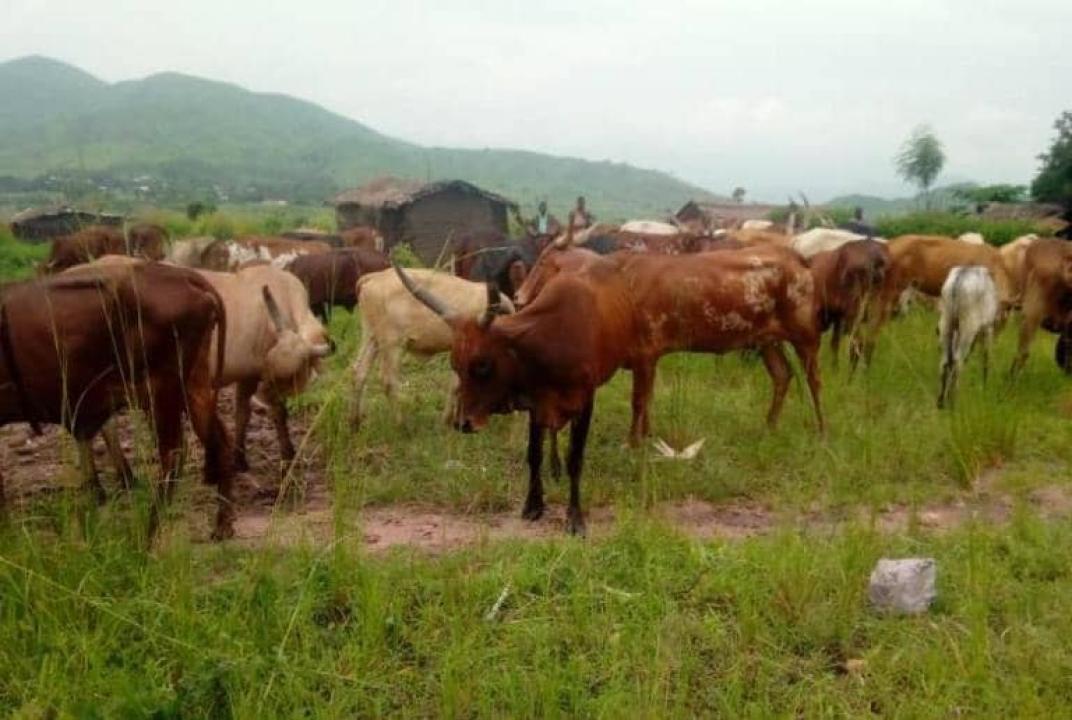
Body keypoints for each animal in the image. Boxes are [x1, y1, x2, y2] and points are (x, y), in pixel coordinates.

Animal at [0, 262, 235, 539]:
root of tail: (185, 276)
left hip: (160, 392)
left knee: (172, 456)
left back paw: (146, 535)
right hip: (193, 387)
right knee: (219, 441)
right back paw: (222, 525)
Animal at [349, 268, 514, 431]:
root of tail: (374, 277)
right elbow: (458, 385)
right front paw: (448, 421)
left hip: (372, 338)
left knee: (359, 372)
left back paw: (355, 422)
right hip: (392, 344)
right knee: (388, 380)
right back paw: (402, 425)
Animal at [394, 243, 825, 533]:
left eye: (482, 365)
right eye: (455, 364)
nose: (462, 423)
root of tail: (799, 259)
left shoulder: (621, 375)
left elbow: (605, 434)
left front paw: (579, 513)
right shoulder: (540, 402)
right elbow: (535, 453)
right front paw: (533, 503)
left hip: (806, 338)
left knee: (814, 382)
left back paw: (821, 433)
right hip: (766, 341)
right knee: (782, 376)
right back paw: (769, 428)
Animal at [807, 240, 891, 369]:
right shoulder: (838, 318)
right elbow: (834, 343)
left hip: (855, 313)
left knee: (858, 344)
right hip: (876, 310)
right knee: (869, 343)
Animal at [937, 266, 999, 408]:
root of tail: (958, 281)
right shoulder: (987, 328)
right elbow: (986, 359)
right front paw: (984, 388)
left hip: (946, 323)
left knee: (946, 362)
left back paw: (941, 402)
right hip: (968, 328)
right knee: (957, 361)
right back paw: (954, 402)